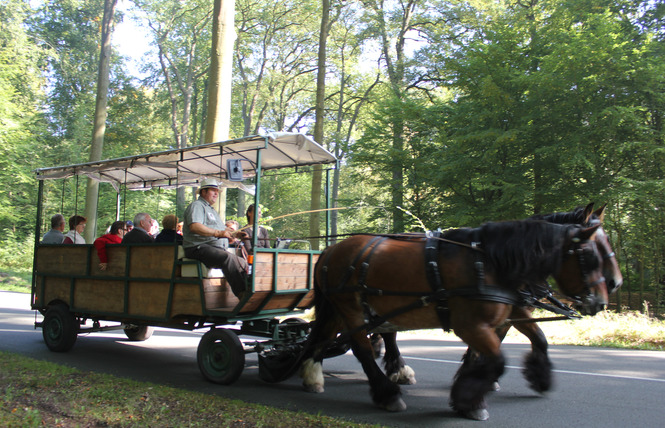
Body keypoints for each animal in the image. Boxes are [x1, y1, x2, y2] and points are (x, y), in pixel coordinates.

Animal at [300, 219, 608, 420]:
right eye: (591, 256)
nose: (602, 300)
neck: (491, 262)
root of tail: (331, 249)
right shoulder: (470, 325)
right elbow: (497, 359)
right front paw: (469, 400)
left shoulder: (508, 313)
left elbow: (536, 340)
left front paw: (537, 379)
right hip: (349, 307)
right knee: (360, 347)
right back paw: (386, 393)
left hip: (353, 308)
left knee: (330, 336)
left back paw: (313, 374)